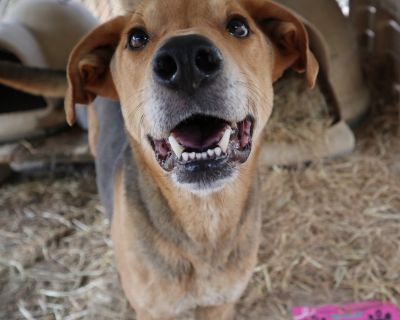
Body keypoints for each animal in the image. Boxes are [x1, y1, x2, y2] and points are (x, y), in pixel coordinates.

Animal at [0, 0, 318, 318]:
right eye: (136, 38)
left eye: (239, 26)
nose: (185, 58)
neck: (204, 219)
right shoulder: (153, 310)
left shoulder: (221, 303)